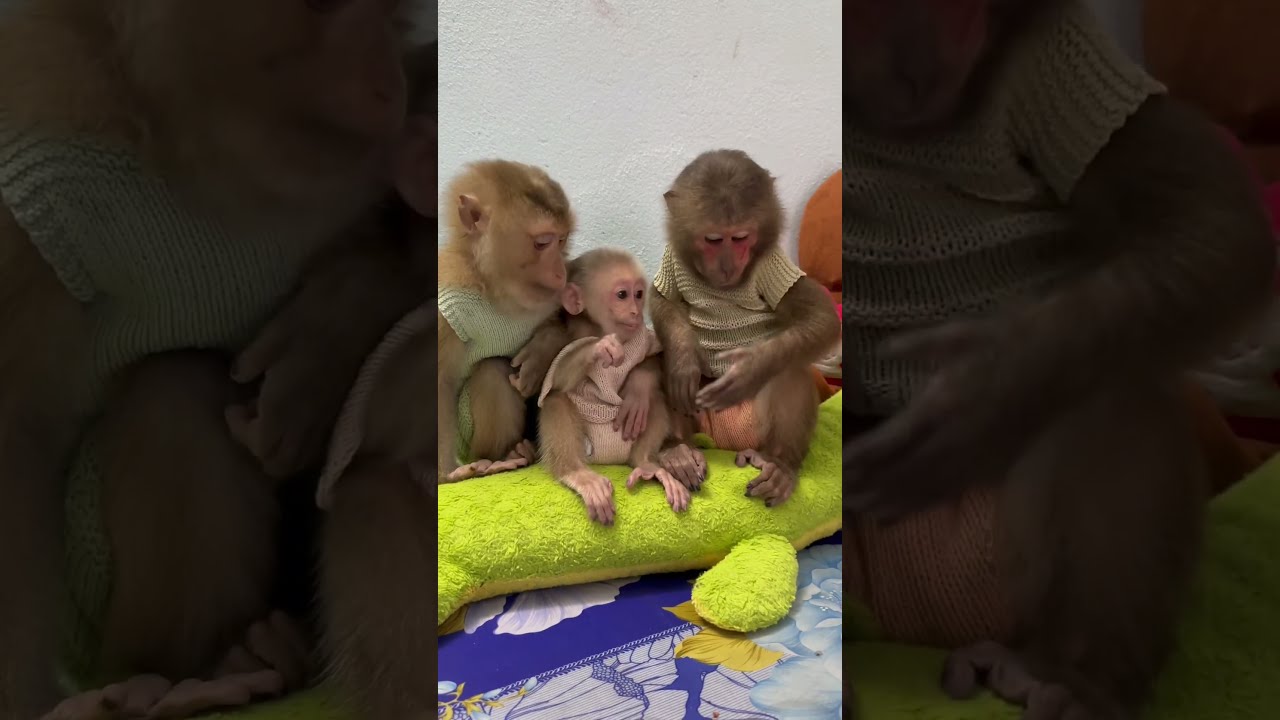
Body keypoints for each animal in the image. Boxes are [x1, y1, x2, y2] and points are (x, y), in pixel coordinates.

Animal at [0, 0, 413, 717]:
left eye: (393, 14)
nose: (394, 84)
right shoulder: (44, 183)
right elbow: (17, 432)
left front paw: (325, 349)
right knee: (178, 392)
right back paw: (210, 669)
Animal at [436, 160, 577, 484]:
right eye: (542, 243)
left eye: (562, 240)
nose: (561, 272)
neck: (499, 293)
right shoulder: (449, 308)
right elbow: (441, 381)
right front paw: (445, 473)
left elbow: (560, 323)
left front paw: (540, 354)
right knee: (492, 371)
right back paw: (504, 456)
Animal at [536, 248, 691, 525]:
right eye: (622, 295)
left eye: (638, 294)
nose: (636, 311)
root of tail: (612, 458)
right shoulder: (569, 339)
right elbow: (556, 374)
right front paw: (598, 349)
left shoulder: (641, 335)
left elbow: (655, 358)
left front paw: (638, 385)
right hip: (588, 452)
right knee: (555, 398)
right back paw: (575, 472)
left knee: (653, 397)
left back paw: (646, 463)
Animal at [650, 149, 842, 507]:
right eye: (713, 239)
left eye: (740, 238)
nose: (728, 265)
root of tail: (724, 445)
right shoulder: (673, 258)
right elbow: (662, 299)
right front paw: (684, 360)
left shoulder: (772, 265)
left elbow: (822, 318)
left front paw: (749, 369)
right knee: (655, 358)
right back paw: (676, 451)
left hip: (754, 429)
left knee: (791, 366)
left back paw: (779, 464)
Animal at [842, 1, 1276, 718]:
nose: (926, 64)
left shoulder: (1060, 62)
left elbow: (1212, 228)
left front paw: (991, 390)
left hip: (997, 577)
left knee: (1106, 384)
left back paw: (1074, 676)